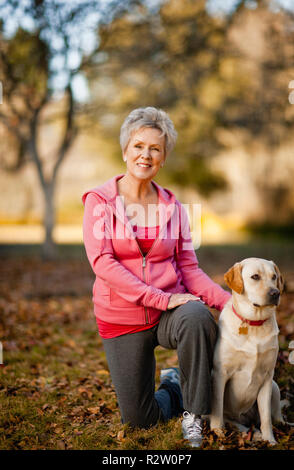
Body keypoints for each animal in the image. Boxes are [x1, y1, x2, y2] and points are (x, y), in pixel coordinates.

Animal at [209, 258, 284, 444]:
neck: (253, 323)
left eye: (274, 277)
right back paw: (247, 433)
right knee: (233, 422)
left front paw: (270, 441)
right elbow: (217, 408)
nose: (275, 293)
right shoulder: (220, 374)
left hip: (274, 387)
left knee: (274, 416)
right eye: (255, 276)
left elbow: (266, 417)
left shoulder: (267, 377)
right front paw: (218, 432)